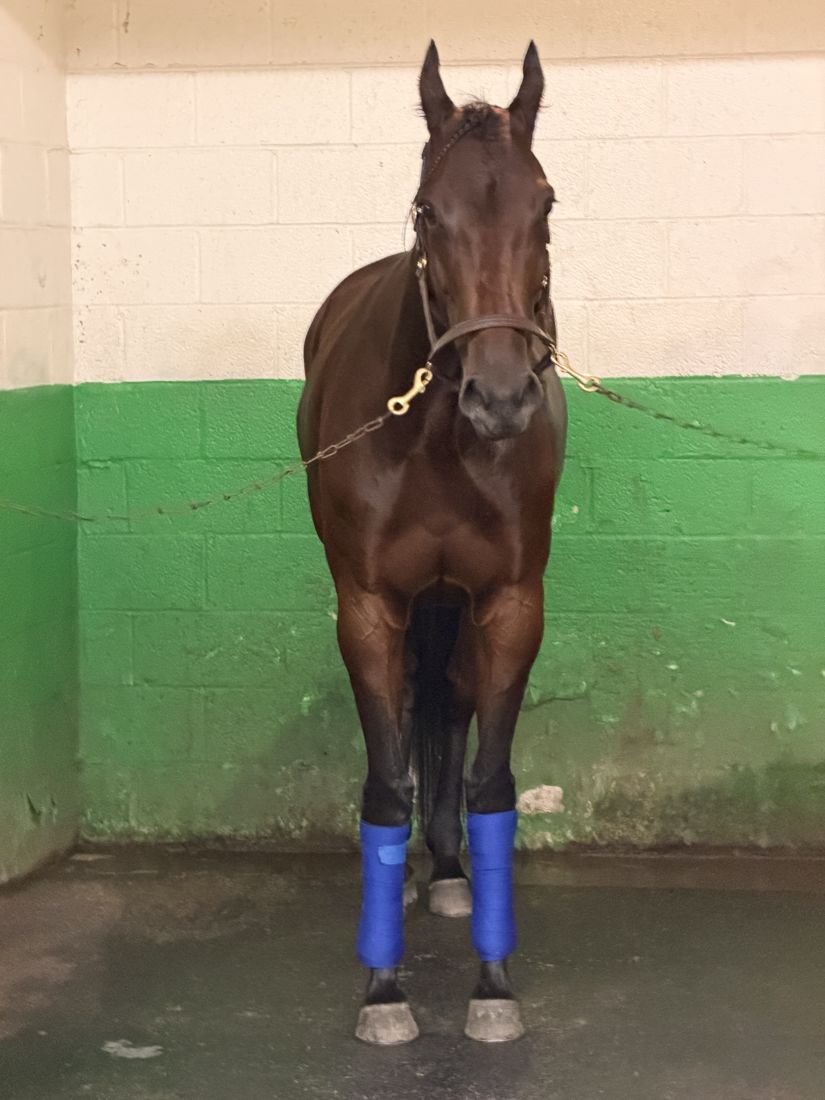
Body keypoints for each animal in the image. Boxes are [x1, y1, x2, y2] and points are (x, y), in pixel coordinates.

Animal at [297, 40, 566, 1045]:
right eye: (426, 209)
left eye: (545, 203)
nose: (501, 396)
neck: (440, 439)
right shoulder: (368, 610)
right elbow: (384, 785)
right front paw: (384, 991)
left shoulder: (510, 606)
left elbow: (491, 784)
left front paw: (493, 983)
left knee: (447, 704)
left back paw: (449, 874)